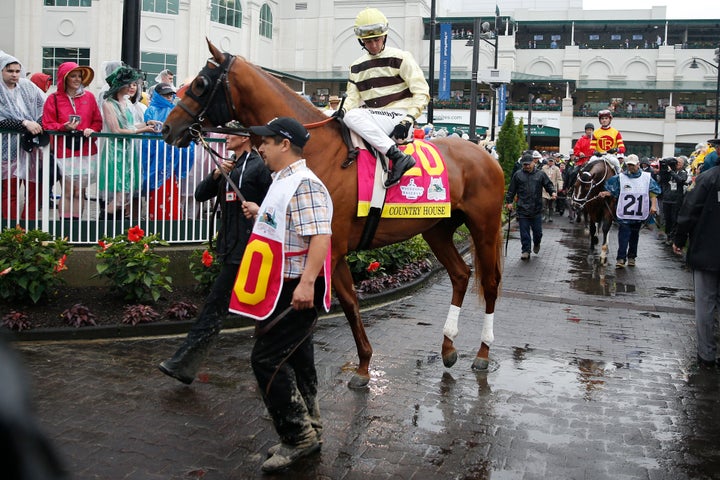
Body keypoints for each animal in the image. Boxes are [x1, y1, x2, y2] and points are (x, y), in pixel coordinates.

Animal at [163, 39, 504, 388]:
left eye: (200, 84)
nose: (167, 128)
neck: (315, 149)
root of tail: (485, 153)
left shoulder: (332, 246)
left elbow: (343, 304)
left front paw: (357, 367)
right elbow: (330, 304)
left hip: (484, 226)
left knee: (490, 283)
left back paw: (482, 353)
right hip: (436, 228)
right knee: (461, 275)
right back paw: (448, 347)